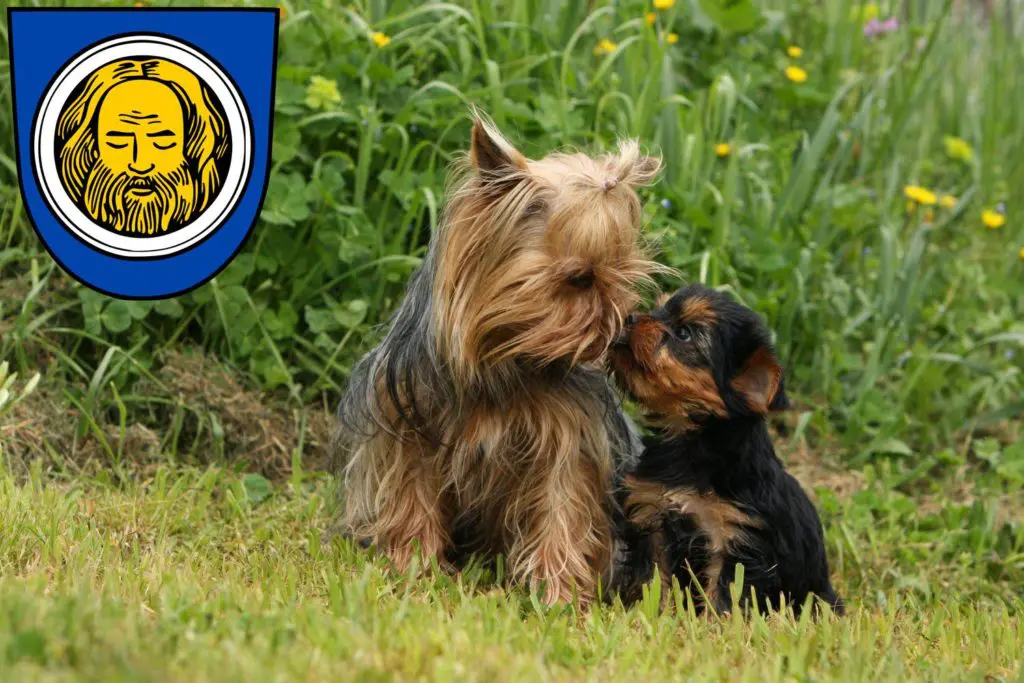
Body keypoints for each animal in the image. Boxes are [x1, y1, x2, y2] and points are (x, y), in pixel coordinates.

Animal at [610, 286, 843, 618]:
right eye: (657, 310)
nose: (629, 317)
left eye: (684, 334)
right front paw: (655, 615)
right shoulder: (651, 516)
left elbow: (723, 593)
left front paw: (714, 625)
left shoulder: (735, 538)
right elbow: (655, 578)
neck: (690, 439)